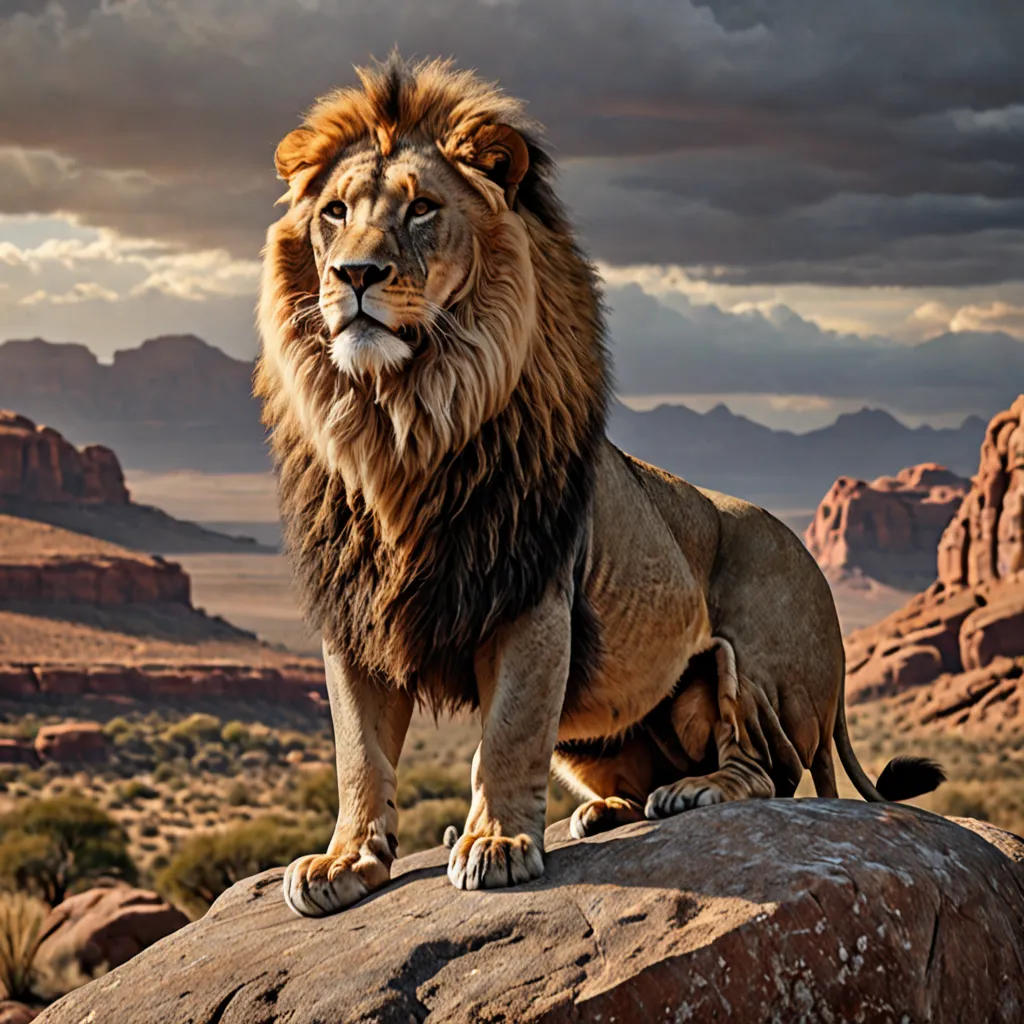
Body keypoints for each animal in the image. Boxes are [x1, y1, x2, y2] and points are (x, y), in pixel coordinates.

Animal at [254, 56, 944, 917]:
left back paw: (693, 793)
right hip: (595, 731)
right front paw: (345, 860)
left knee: (768, 772)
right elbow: (359, 751)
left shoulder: (532, 596)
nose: (354, 275)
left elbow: (507, 733)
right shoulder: (355, 613)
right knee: (642, 773)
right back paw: (606, 809)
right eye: (336, 212)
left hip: (753, 666)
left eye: (422, 209)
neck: (402, 425)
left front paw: (496, 844)